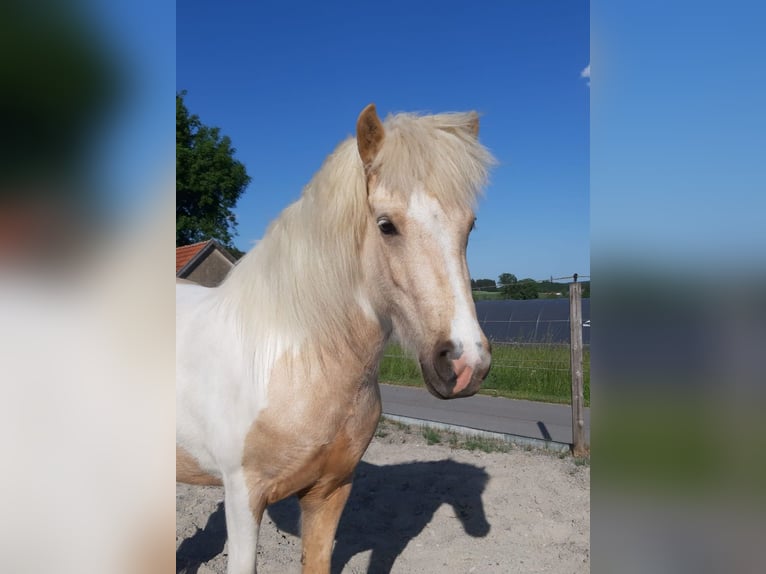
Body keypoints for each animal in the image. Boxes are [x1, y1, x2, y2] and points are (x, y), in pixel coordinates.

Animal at [176, 103, 495, 574]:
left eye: (470, 226)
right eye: (386, 225)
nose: (465, 363)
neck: (297, 360)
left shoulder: (330, 491)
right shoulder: (243, 498)